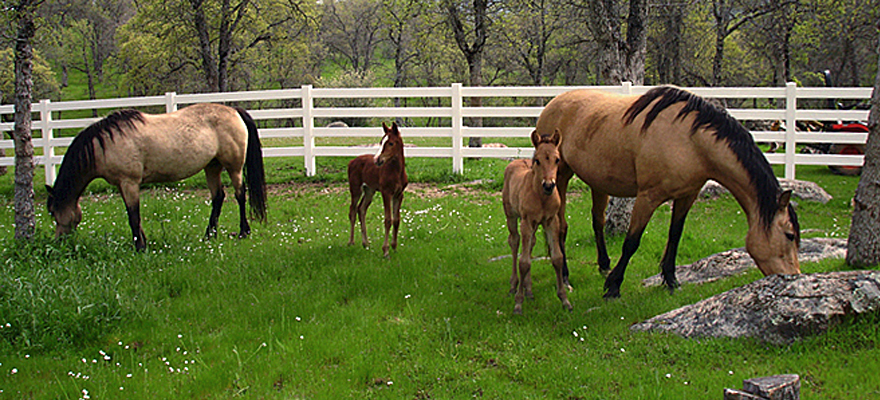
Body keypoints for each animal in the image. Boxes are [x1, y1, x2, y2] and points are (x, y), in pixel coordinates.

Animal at [46, 103, 268, 251]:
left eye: (53, 212)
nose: (59, 242)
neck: (107, 144)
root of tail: (234, 111)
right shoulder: (122, 185)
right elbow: (133, 215)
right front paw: (142, 242)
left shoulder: (129, 182)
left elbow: (133, 216)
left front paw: (139, 247)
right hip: (211, 167)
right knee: (218, 197)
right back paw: (208, 235)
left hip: (234, 167)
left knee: (240, 195)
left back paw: (243, 231)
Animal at [347, 122, 408, 257]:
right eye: (381, 142)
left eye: (391, 143)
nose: (377, 160)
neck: (397, 172)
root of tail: (352, 161)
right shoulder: (386, 193)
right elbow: (388, 220)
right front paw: (385, 251)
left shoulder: (399, 194)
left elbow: (396, 220)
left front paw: (394, 247)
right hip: (355, 189)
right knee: (352, 211)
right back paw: (351, 242)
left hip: (369, 191)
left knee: (361, 209)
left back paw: (366, 243)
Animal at [502, 130, 572, 315]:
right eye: (538, 160)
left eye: (557, 159)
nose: (549, 185)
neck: (542, 198)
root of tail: (516, 161)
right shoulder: (526, 222)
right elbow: (524, 262)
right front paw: (518, 304)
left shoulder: (551, 221)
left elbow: (557, 258)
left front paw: (565, 300)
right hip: (512, 217)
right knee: (515, 242)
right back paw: (514, 285)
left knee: (531, 244)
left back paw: (529, 289)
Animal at [535, 85, 800, 298]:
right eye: (789, 235)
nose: (793, 277)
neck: (690, 141)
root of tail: (553, 104)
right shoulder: (648, 197)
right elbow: (631, 242)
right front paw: (613, 287)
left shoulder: (687, 196)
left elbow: (675, 235)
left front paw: (671, 281)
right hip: (560, 177)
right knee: (561, 226)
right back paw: (566, 276)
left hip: (598, 181)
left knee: (598, 221)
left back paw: (603, 265)